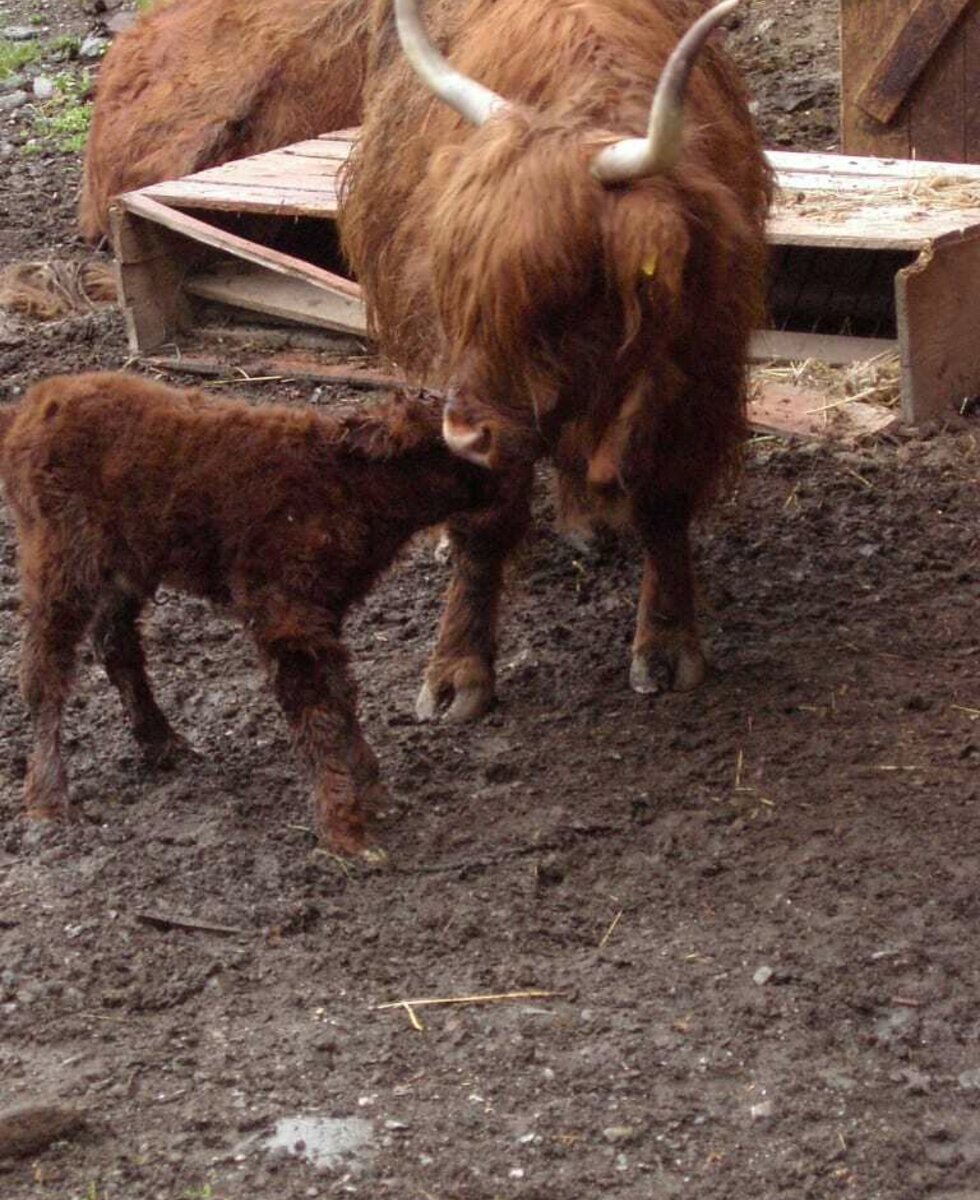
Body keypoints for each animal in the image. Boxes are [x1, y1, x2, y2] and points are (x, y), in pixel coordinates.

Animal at [0, 374, 501, 854]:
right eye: (453, 445)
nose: (500, 471)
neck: (344, 481)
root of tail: (27, 410)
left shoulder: (322, 613)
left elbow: (340, 695)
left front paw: (372, 792)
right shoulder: (285, 613)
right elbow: (317, 706)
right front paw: (347, 834)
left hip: (127, 567)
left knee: (115, 644)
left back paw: (164, 745)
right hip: (60, 561)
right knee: (45, 670)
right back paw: (49, 801)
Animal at [343, 0, 772, 720]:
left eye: (558, 295)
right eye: (461, 288)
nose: (463, 434)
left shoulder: (695, 374)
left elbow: (663, 503)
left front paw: (665, 647)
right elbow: (485, 523)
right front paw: (455, 675)